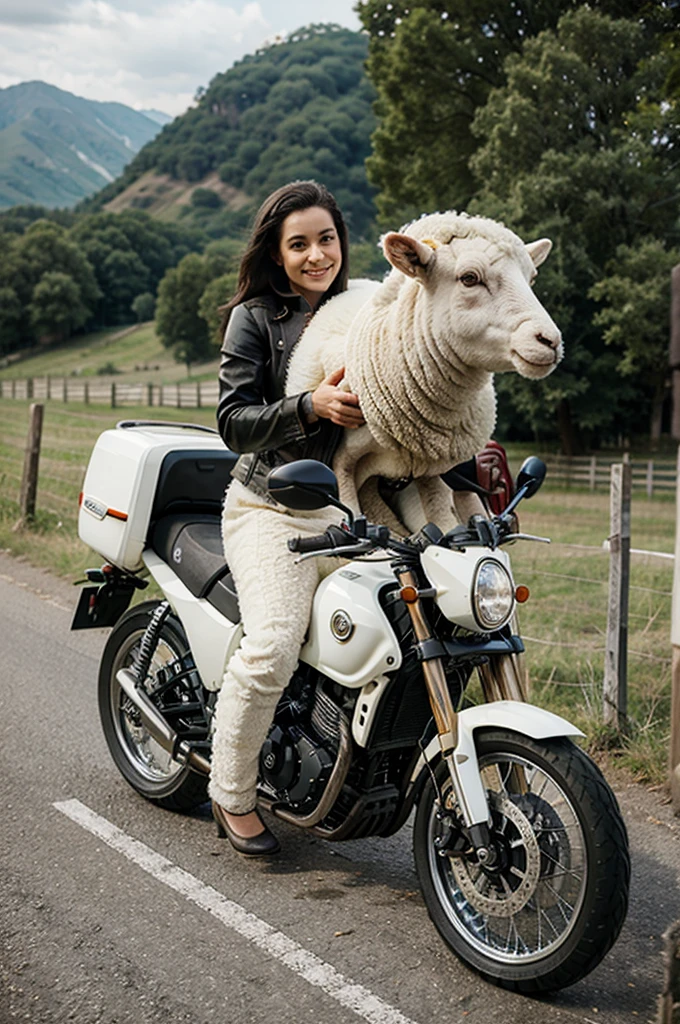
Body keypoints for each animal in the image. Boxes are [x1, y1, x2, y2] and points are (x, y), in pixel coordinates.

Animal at [284, 210, 561, 532]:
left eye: (531, 278)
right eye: (470, 278)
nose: (550, 341)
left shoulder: (431, 469)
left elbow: (441, 520)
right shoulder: (341, 464)